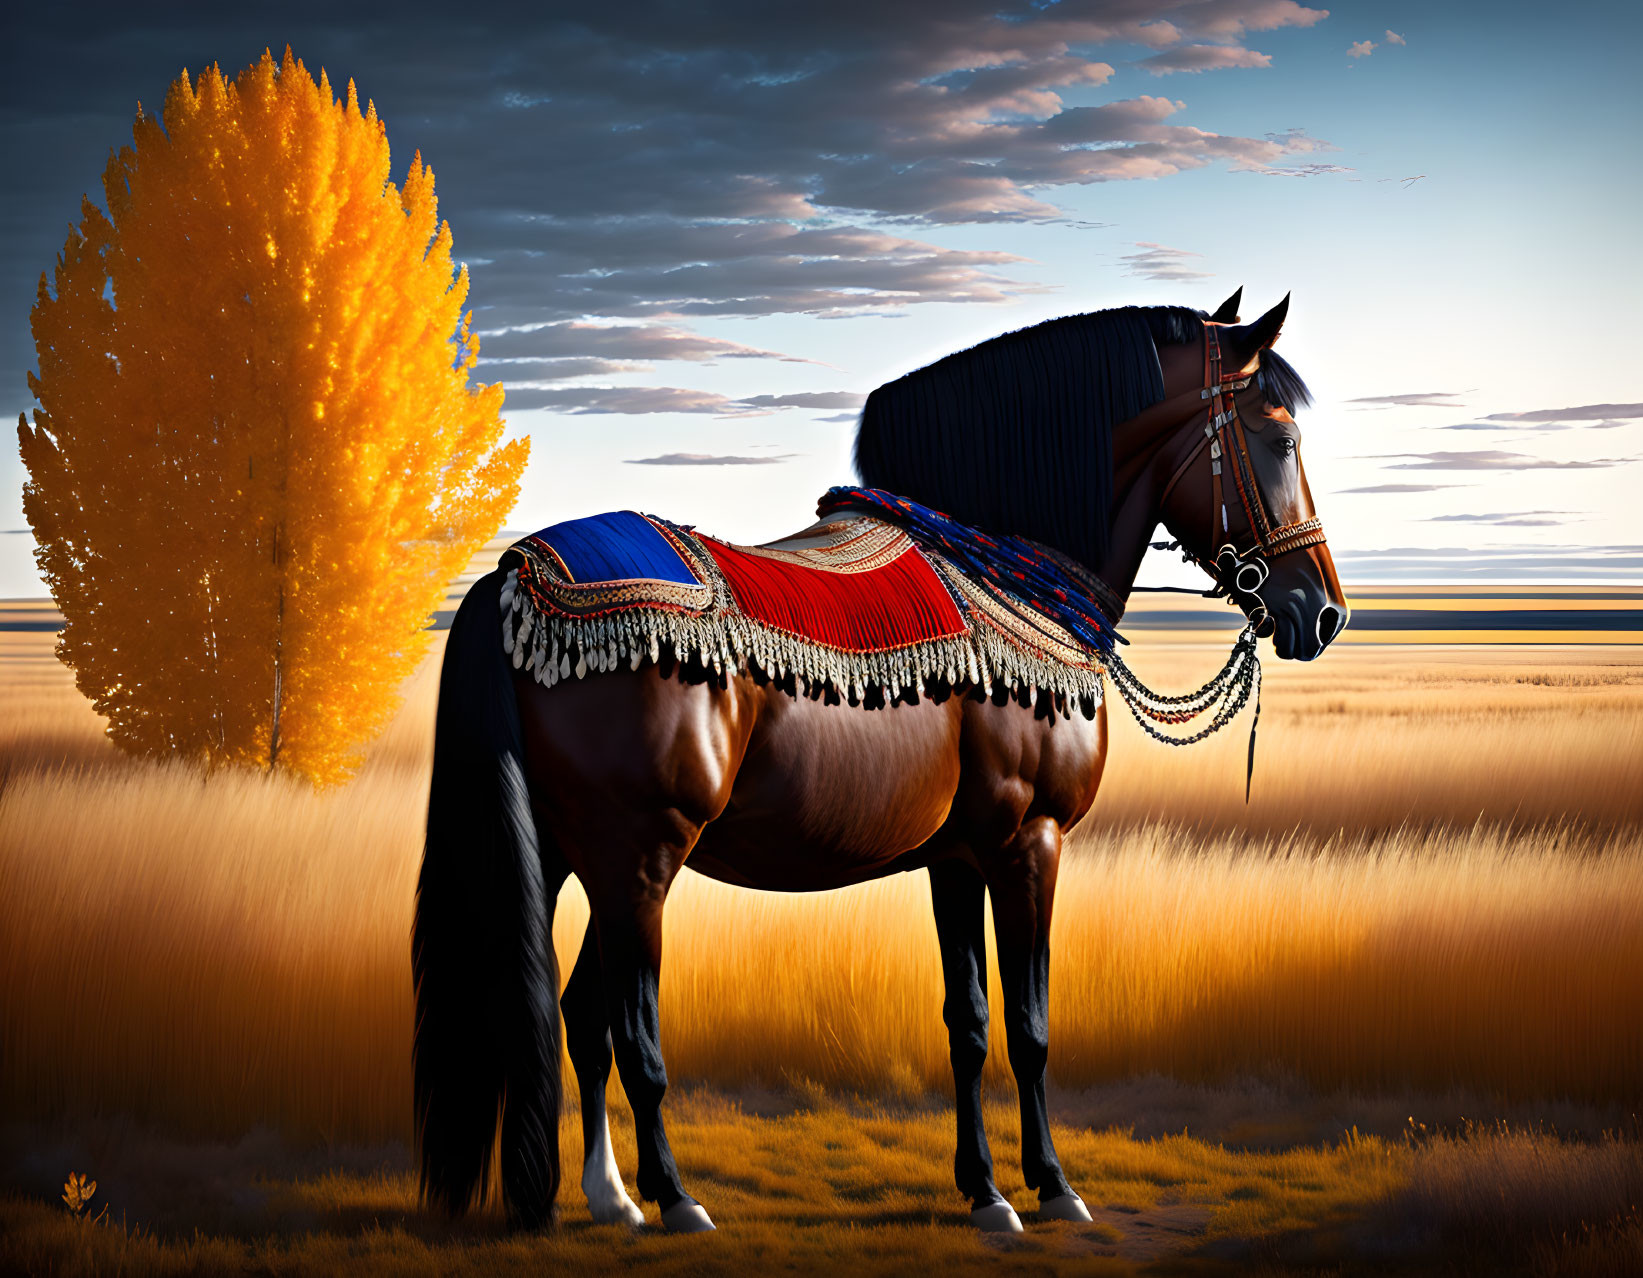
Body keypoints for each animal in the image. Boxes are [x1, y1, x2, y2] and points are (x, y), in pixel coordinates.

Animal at [410, 294, 1347, 1228]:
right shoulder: (1029, 844)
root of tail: (514, 576)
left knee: (574, 1013)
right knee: (628, 1029)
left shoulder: (956, 857)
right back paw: (673, 1199)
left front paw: (985, 1192)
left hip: (571, 859)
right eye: (1278, 440)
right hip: (635, 861)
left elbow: (968, 1024)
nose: (1323, 611)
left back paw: (608, 1198)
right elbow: (1030, 1026)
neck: (1002, 570)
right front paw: (1053, 1186)